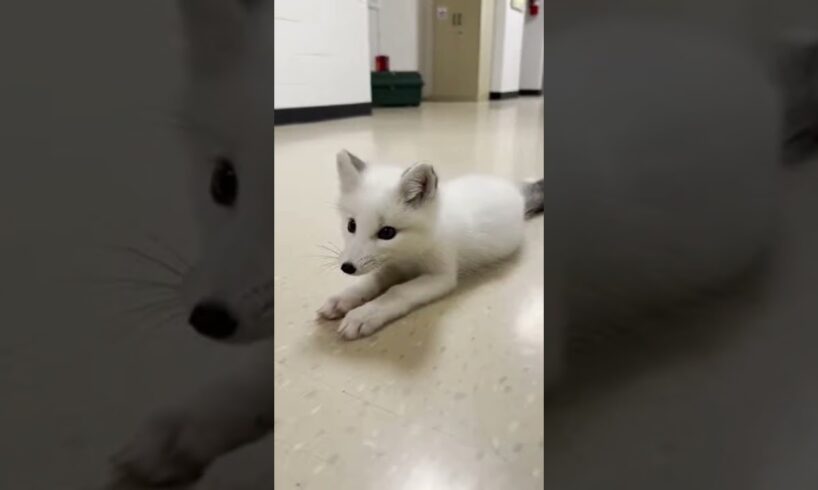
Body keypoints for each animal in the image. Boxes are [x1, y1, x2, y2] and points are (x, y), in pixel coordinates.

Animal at [317, 150, 545, 340]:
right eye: (351, 225)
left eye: (387, 233)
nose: (346, 267)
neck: (409, 252)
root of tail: (515, 190)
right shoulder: (392, 266)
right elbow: (371, 282)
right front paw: (344, 298)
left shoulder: (442, 277)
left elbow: (398, 291)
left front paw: (365, 314)